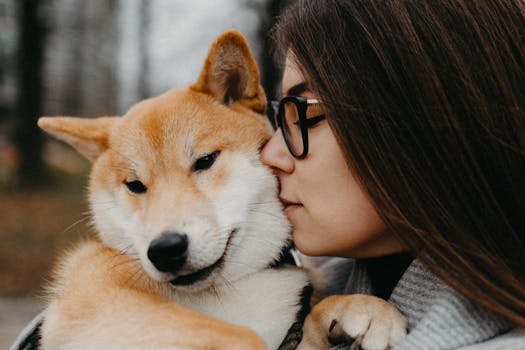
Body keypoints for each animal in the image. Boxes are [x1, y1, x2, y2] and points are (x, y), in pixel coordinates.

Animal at [37, 29, 406, 350]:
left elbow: (312, 315)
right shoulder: (95, 300)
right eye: (135, 185)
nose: (165, 249)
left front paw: (364, 308)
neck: (231, 289)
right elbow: (239, 336)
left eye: (204, 161)